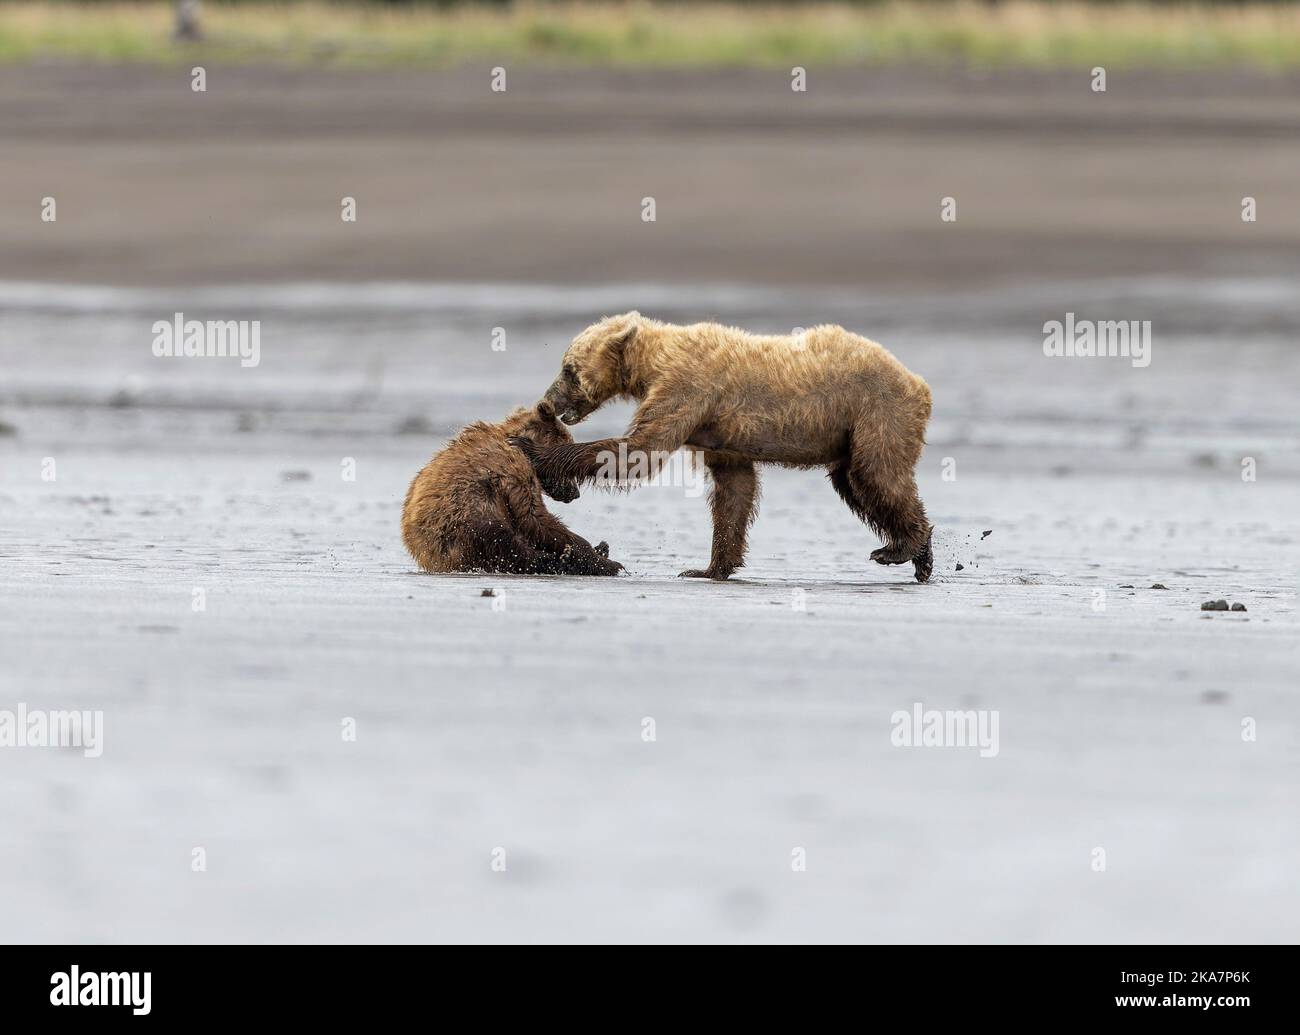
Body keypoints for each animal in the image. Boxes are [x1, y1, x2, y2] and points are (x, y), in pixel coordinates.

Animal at [400, 403, 624, 577]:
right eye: (565, 467)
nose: (574, 493)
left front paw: (598, 550)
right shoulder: (514, 469)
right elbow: (534, 517)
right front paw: (602, 560)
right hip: (464, 523)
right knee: (506, 543)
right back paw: (562, 560)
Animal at [506, 310, 935, 582]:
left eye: (568, 369)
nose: (549, 402)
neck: (652, 364)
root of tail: (920, 384)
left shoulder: (686, 390)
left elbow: (637, 452)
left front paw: (531, 449)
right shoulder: (719, 434)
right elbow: (734, 489)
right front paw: (708, 567)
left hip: (876, 412)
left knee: (876, 476)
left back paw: (902, 548)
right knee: (853, 482)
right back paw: (917, 555)